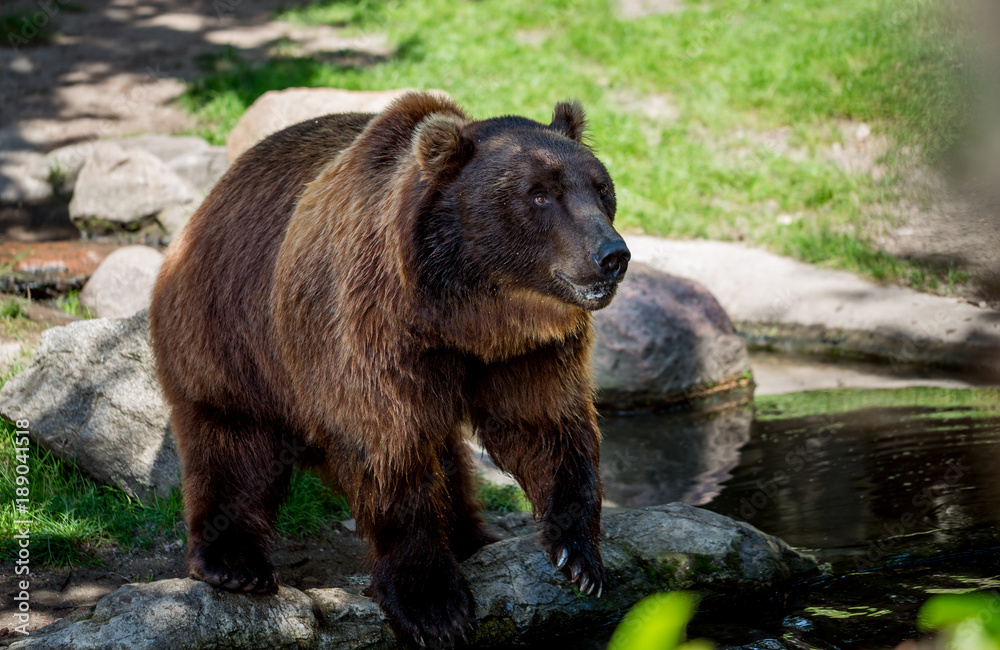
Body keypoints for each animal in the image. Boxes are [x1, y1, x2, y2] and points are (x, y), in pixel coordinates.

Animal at [147, 91, 628, 644]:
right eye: (540, 195)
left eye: (601, 187)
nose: (612, 254)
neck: (466, 316)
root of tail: (211, 198)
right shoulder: (372, 326)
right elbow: (390, 449)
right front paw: (434, 607)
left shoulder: (532, 348)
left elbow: (546, 424)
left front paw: (580, 557)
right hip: (232, 329)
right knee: (232, 443)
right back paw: (233, 564)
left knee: (450, 457)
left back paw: (471, 536)